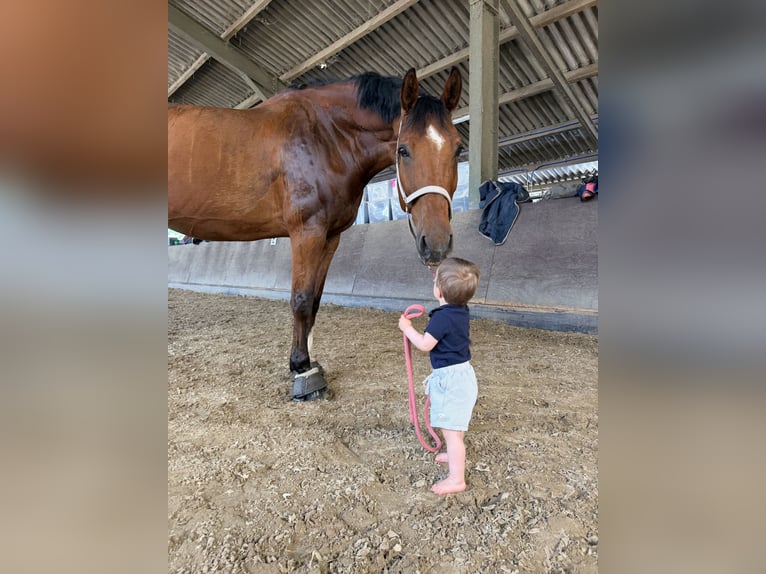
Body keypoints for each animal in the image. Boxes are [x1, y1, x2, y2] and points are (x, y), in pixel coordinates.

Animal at [168, 67, 463, 400]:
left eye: (458, 148)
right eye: (404, 150)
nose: (436, 244)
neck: (324, 136)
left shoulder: (330, 237)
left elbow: (315, 301)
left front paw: (310, 363)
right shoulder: (306, 232)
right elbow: (301, 299)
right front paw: (302, 370)